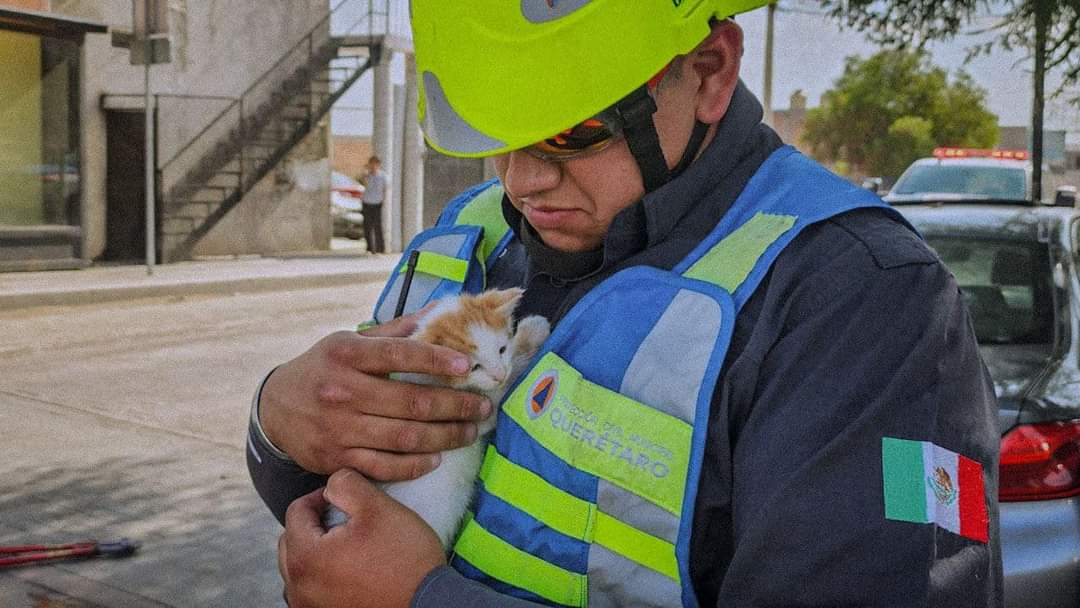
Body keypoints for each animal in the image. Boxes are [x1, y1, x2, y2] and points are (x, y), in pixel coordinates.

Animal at [324, 287, 552, 548]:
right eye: (474, 367)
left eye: (501, 349)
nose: (499, 374)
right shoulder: (478, 413)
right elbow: (501, 394)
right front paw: (531, 335)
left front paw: (527, 334)